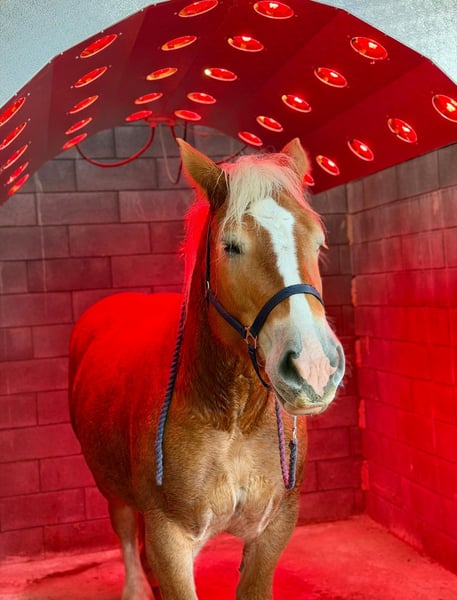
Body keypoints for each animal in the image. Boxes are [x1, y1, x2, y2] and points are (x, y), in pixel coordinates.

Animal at [68, 137, 345, 600]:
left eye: (319, 241)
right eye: (230, 246)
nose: (313, 367)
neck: (234, 417)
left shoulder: (273, 530)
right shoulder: (170, 541)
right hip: (110, 484)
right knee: (124, 530)